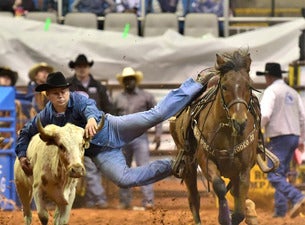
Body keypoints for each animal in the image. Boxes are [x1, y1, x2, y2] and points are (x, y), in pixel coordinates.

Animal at [169, 49, 258, 225]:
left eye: (249, 86)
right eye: (224, 86)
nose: (240, 122)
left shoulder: (244, 169)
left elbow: (239, 207)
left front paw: (238, 214)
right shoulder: (206, 161)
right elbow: (219, 186)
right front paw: (223, 217)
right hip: (188, 162)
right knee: (194, 198)